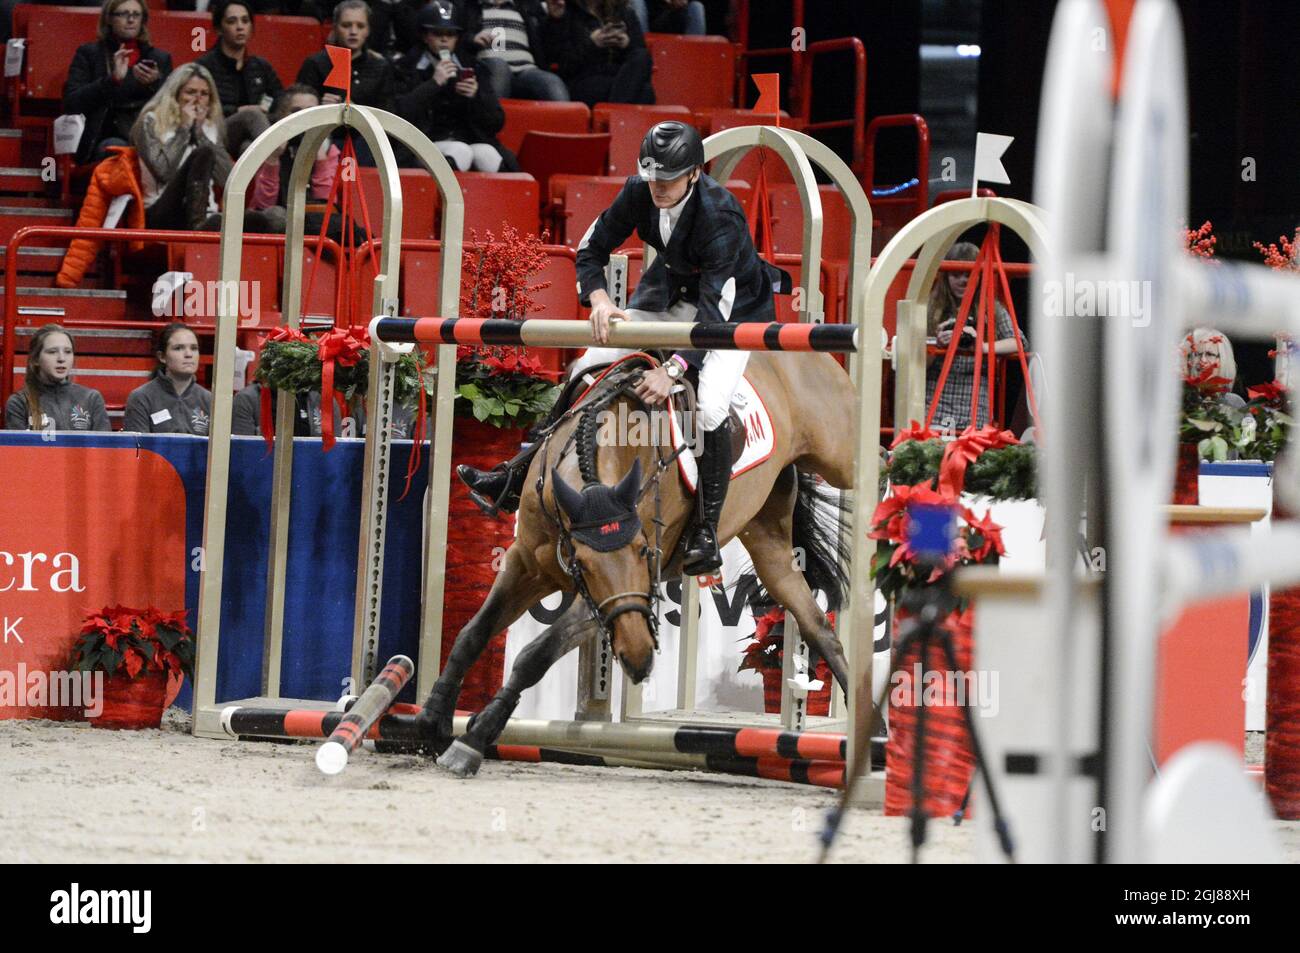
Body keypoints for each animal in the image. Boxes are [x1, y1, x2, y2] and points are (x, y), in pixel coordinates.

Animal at [421, 345, 857, 774]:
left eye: (645, 552)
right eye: (582, 563)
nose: (640, 659)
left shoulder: (602, 600)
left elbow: (535, 655)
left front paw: (474, 737)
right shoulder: (526, 564)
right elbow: (472, 633)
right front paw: (432, 720)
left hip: (839, 455)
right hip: (771, 545)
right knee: (818, 626)